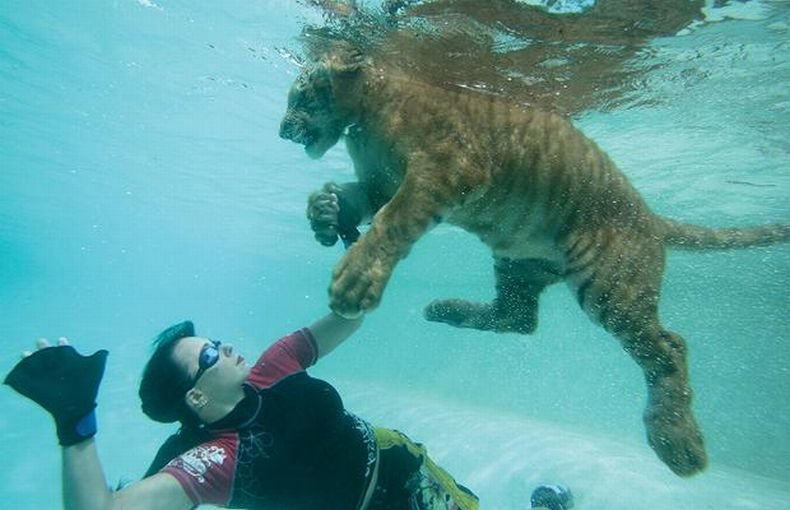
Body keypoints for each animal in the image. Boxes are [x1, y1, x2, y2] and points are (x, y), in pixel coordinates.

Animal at [278, 46, 790, 478]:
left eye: (299, 94)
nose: (282, 130)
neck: (361, 118)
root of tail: (651, 217)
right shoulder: (380, 183)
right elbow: (355, 201)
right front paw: (323, 213)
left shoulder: (443, 169)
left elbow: (392, 224)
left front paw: (353, 282)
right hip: (517, 261)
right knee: (519, 318)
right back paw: (443, 309)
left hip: (608, 284)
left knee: (668, 345)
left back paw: (677, 441)